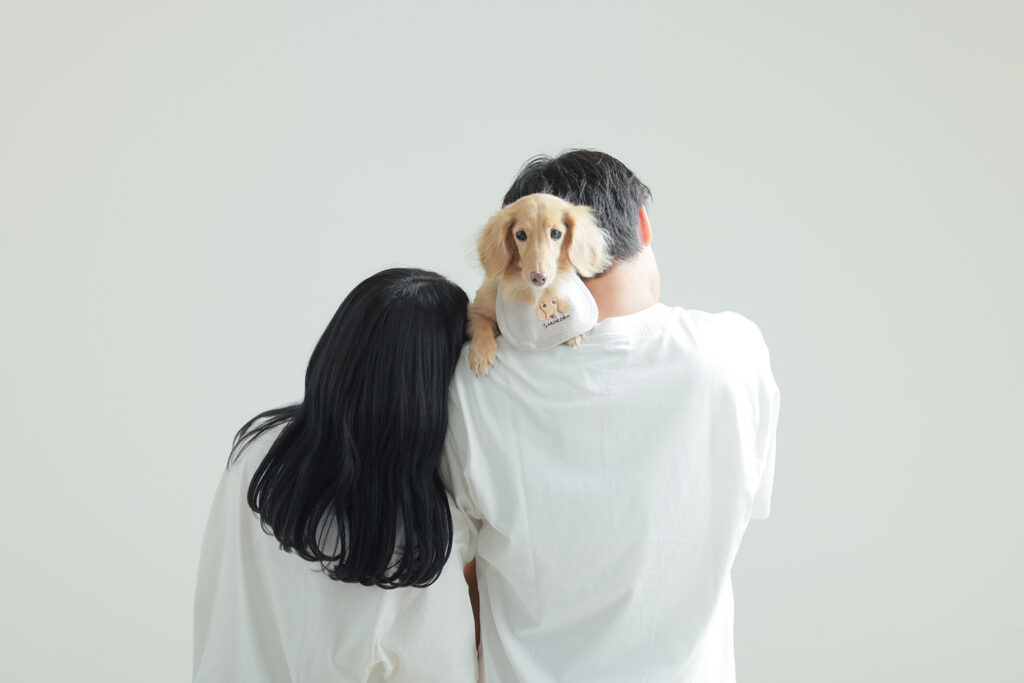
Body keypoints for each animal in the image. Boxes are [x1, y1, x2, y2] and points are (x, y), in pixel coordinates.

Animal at [467, 193, 610, 375]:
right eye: (520, 235)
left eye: (556, 233)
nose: (539, 278)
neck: (534, 293)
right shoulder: (475, 309)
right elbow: (481, 324)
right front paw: (481, 354)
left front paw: (572, 334)